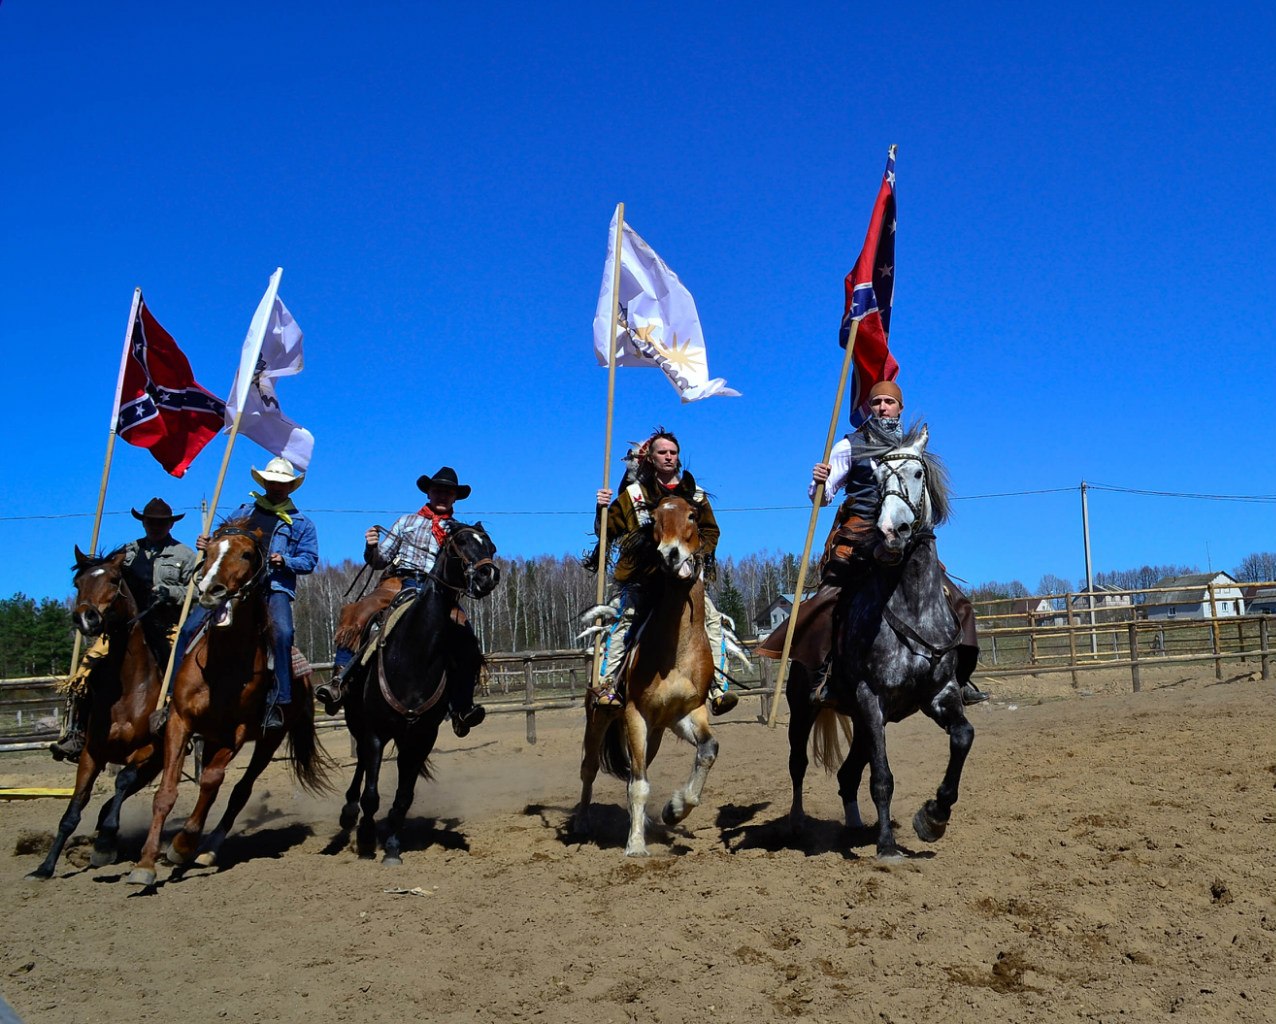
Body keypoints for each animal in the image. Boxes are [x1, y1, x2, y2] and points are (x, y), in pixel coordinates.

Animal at [26, 548, 167, 877]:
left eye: (114, 580)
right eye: (78, 582)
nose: (84, 617)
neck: (129, 688)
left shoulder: (147, 750)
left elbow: (122, 781)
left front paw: (104, 843)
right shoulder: (92, 752)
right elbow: (74, 808)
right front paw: (45, 866)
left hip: (153, 765)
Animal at [126, 525, 329, 887]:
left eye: (247, 554)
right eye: (208, 551)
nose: (210, 589)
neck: (222, 665)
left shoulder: (238, 731)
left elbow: (212, 780)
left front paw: (182, 845)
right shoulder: (180, 722)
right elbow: (166, 793)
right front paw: (146, 863)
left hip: (268, 739)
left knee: (239, 790)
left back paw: (207, 849)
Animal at [336, 520, 500, 867]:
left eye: (490, 546)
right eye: (461, 542)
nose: (488, 575)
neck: (414, 653)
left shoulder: (422, 737)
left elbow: (403, 797)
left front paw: (392, 847)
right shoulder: (375, 732)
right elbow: (372, 795)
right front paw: (367, 840)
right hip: (358, 720)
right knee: (361, 766)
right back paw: (349, 813)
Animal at [576, 497, 719, 856]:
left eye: (692, 516)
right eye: (652, 519)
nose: (670, 554)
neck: (676, 651)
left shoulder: (687, 712)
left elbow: (708, 749)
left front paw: (675, 809)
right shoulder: (635, 714)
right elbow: (638, 785)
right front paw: (636, 846)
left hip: (654, 733)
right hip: (599, 717)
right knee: (590, 769)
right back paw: (582, 822)